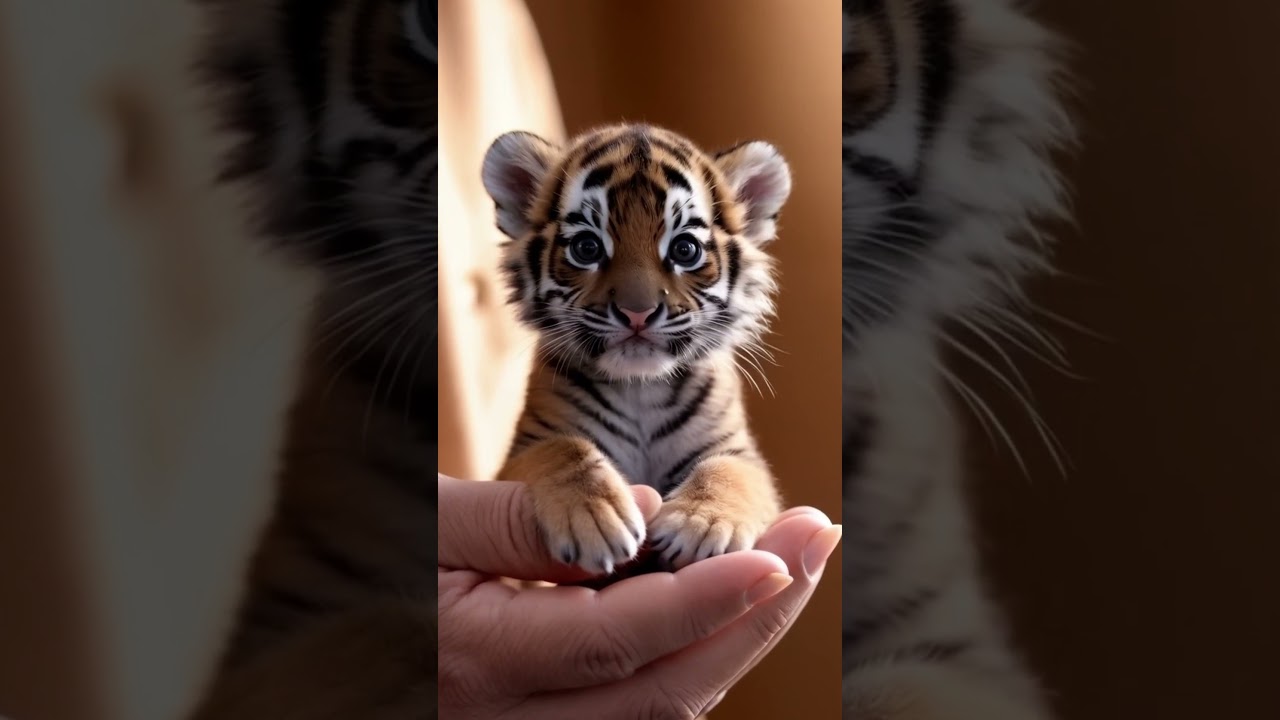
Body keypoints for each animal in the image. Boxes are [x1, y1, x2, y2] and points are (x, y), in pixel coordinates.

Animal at [479, 123, 792, 579]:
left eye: (685, 250)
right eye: (587, 248)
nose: (637, 312)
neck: (641, 386)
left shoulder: (741, 453)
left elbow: (727, 471)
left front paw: (700, 524)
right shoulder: (525, 448)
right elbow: (564, 450)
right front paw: (594, 519)